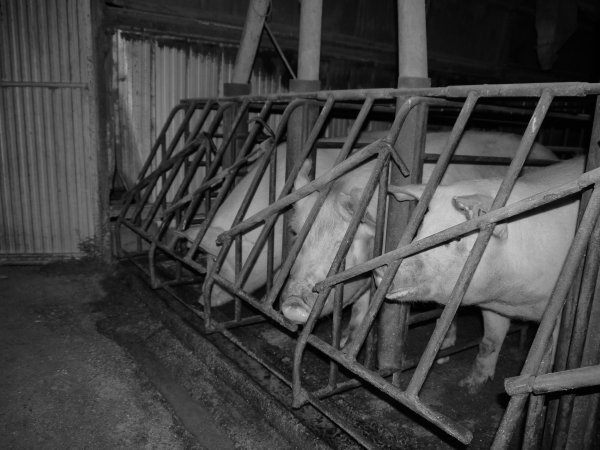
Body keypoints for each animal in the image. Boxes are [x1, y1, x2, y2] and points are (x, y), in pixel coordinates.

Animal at [384, 155, 584, 390]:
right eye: (420, 230)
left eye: (457, 238)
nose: (382, 269)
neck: (516, 300)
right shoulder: (493, 308)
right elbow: (489, 342)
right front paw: (470, 385)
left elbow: (550, 359)